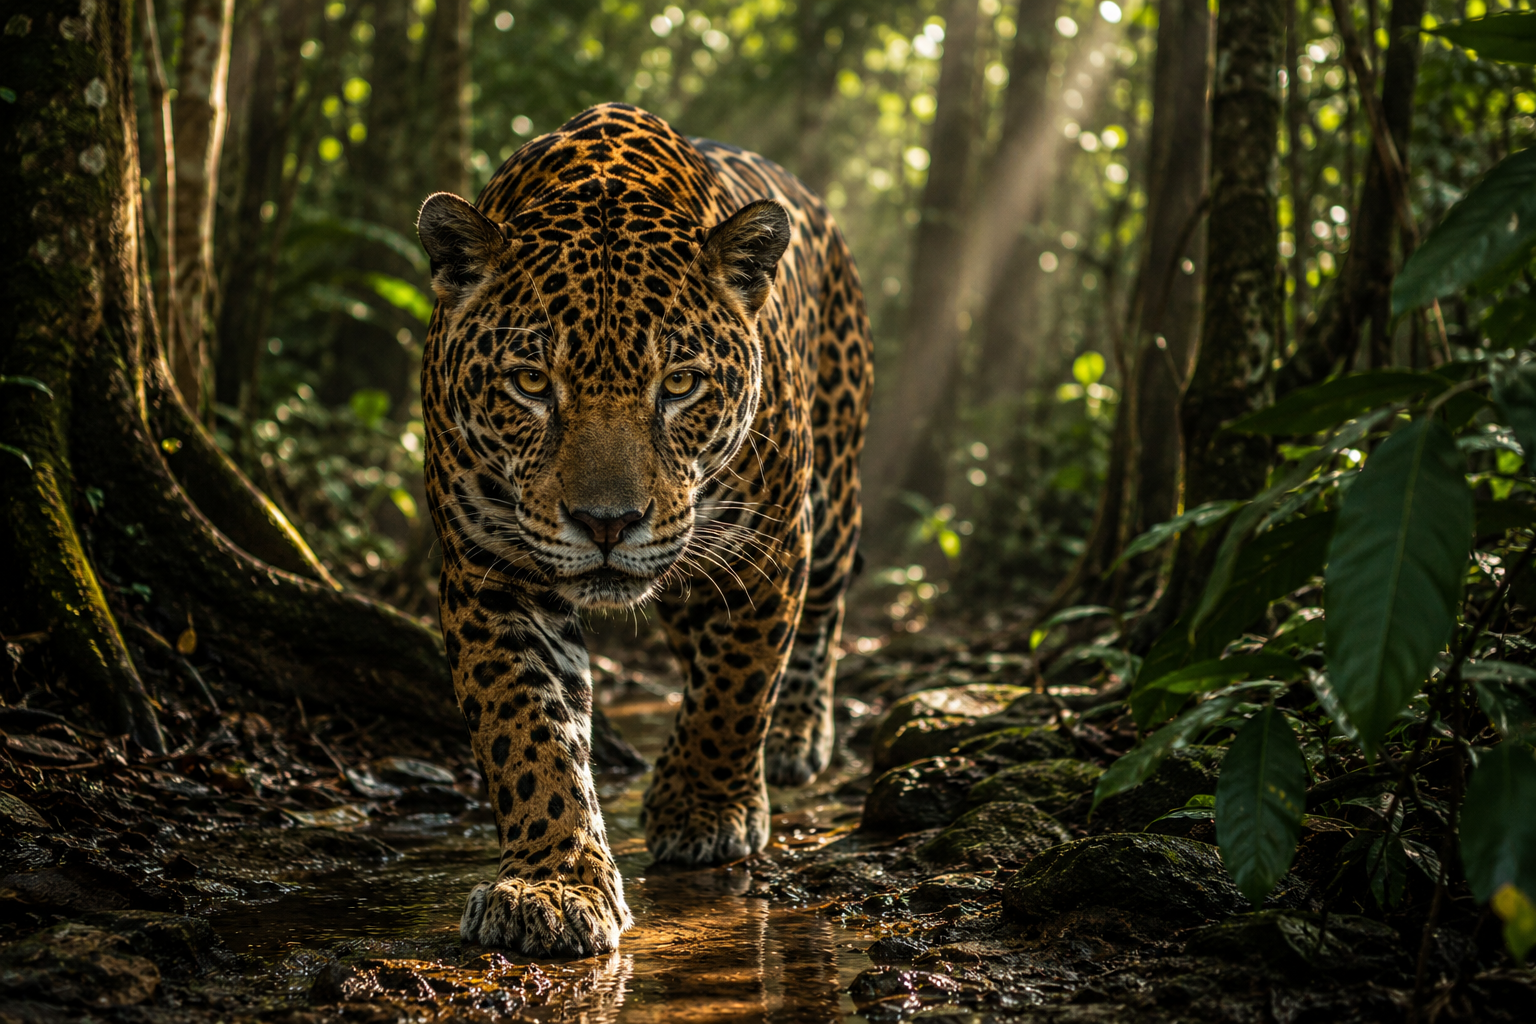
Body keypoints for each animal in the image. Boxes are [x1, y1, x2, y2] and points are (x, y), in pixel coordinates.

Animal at [415, 103, 872, 957]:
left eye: (681, 383)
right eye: (531, 382)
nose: (607, 523)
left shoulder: (766, 547)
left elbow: (739, 685)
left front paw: (702, 812)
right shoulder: (490, 574)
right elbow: (526, 731)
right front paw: (553, 885)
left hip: (831, 496)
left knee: (819, 619)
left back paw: (796, 737)